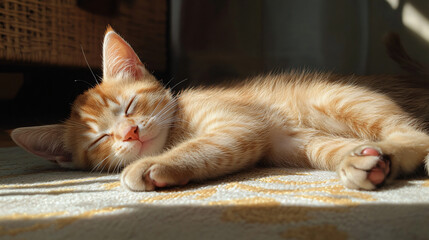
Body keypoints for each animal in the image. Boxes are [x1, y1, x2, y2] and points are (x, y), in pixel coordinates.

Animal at [9, 26, 428, 191]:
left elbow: (203, 147)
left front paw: (151, 166)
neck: (177, 126)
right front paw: (366, 162)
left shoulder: (239, 126)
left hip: (343, 98)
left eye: (129, 105)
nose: (130, 133)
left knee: (415, 133)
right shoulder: (292, 143)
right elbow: (337, 149)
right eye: (99, 139)